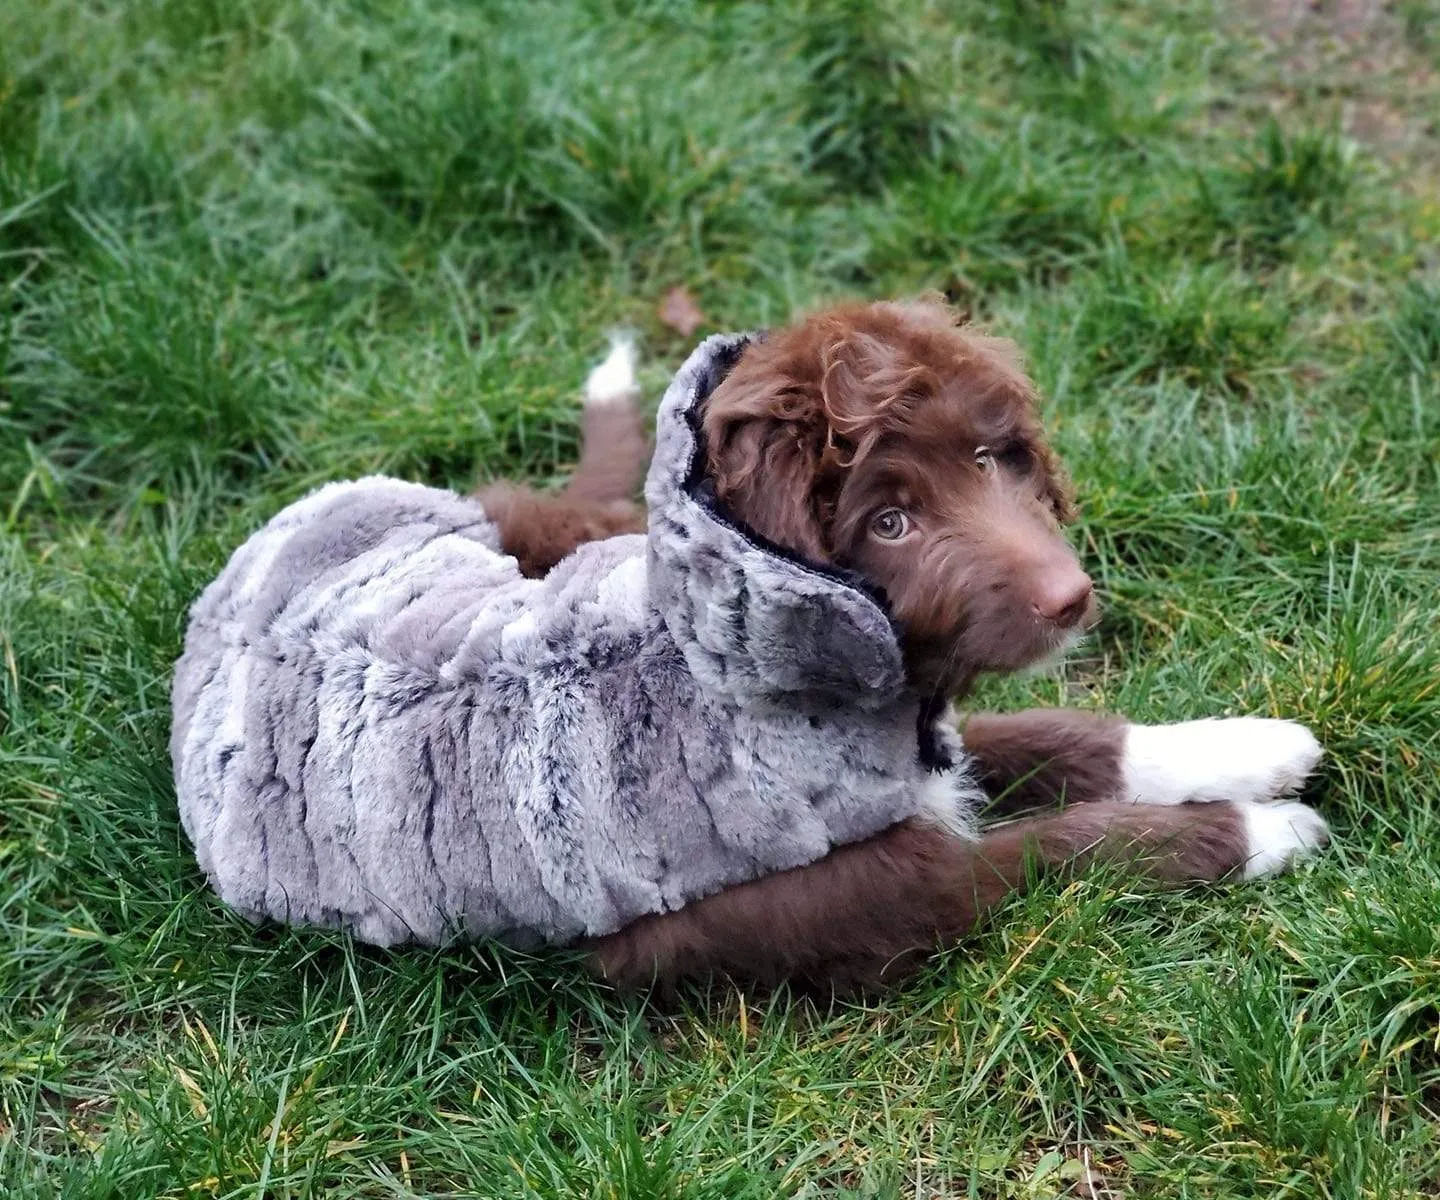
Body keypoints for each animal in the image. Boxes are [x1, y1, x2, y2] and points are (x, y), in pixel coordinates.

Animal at [483, 302, 1324, 991]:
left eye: (984, 460)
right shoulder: (816, 900)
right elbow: (1047, 846)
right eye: (890, 524)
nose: (1072, 597)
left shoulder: (913, 738)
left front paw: (1238, 748)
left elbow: (1048, 736)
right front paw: (1254, 829)